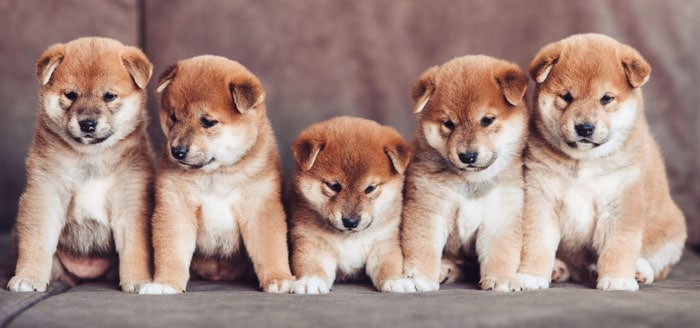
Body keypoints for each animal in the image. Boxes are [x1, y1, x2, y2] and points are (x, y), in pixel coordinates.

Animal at [7, 37, 154, 292]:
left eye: (109, 96)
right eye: (71, 95)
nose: (87, 124)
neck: (90, 156)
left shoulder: (131, 201)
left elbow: (136, 248)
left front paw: (138, 281)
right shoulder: (45, 194)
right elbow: (36, 241)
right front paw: (28, 277)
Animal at [141, 55, 294, 294]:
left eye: (207, 122)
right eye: (173, 117)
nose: (177, 151)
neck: (215, 175)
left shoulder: (260, 208)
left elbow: (270, 249)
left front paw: (279, 279)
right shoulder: (175, 208)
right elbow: (171, 253)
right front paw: (165, 283)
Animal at [288, 116, 412, 294]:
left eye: (370, 188)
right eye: (333, 186)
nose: (351, 222)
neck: (348, 237)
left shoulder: (383, 242)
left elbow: (389, 264)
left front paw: (396, 280)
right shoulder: (312, 244)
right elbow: (311, 265)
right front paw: (310, 281)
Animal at [396, 55, 528, 292]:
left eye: (487, 120)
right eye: (448, 123)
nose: (467, 156)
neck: (471, 182)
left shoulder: (501, 213)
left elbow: (501, 252)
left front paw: (503, 278)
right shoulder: (429, 208)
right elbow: (423, 246)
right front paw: (421, 277)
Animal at [516, 32, 688, 290]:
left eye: (606, 99)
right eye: (566, 97)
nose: (584, 128)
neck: (583, 162)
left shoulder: (621, 202)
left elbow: (619, 246)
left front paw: (617, 280)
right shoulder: (541, 198)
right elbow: (536, 242)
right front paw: (531, 276)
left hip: (672, 232)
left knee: (658, 264)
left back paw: (640, 271)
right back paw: (558, 268)